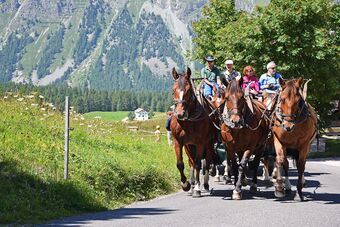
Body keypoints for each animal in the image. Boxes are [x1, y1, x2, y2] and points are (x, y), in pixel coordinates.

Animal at [171, 66, 216, 196]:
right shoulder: (178, 142)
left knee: (206, 162)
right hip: (189, 146)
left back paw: (205, 184)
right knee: (191, 162)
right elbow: (180, 164)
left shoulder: (200, 143)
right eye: (173, 90)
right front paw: (185, 184)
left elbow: (198, 164)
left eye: (188, 90)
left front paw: (196, 188)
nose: (180, 114)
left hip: (209, 143)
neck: (188, 121)